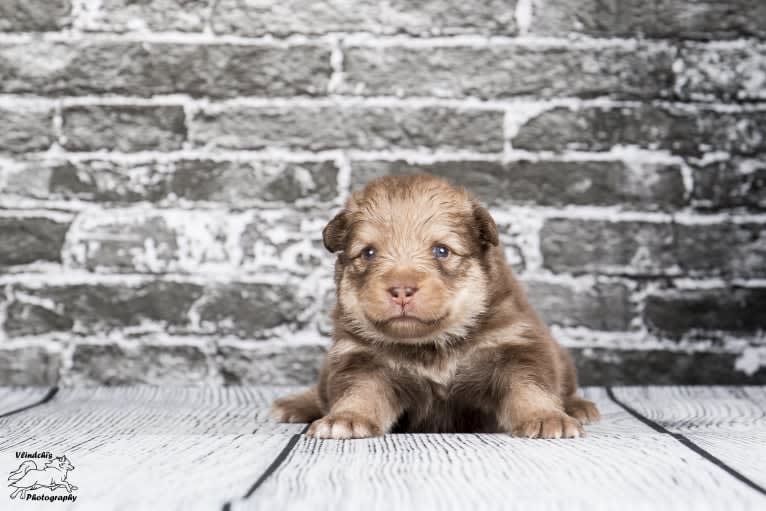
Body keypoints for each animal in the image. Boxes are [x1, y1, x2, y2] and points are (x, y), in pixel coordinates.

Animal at [272, 176, 604, 440]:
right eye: (368, 253)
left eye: (441, 250)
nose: (401, 290)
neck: (431, 346)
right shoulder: (360, 358)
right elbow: (359, 392)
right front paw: (346, 418)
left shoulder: (516, 345)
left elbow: (530, 386)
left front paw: (546, 417)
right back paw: (294, 404)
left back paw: (579, 406)